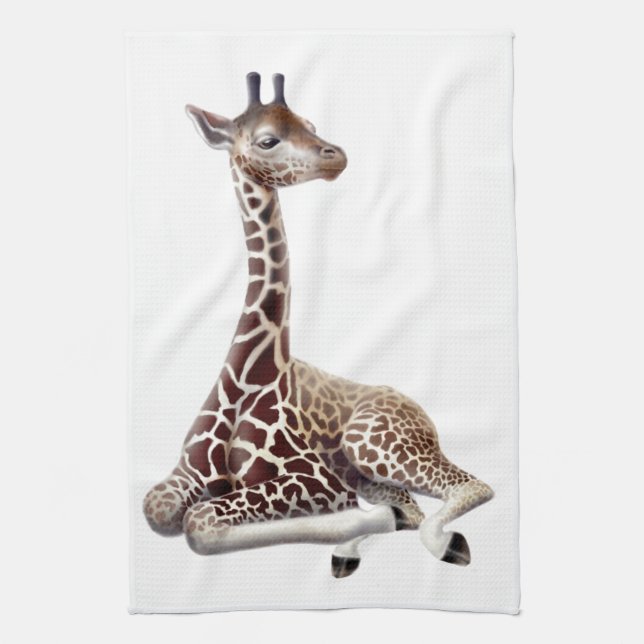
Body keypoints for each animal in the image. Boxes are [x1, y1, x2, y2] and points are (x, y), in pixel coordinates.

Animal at [143, 72, 494, 577]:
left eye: (309, 123)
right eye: (268, 139)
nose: (336, 154)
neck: (253, 374)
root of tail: (419, 411)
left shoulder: (313, 480)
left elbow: (201, 522)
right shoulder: (186, 475)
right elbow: (160, 508)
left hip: (370, 442)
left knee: (470, 486)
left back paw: (439, 543)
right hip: (366, 464)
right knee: (411, 504)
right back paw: (356, 549)